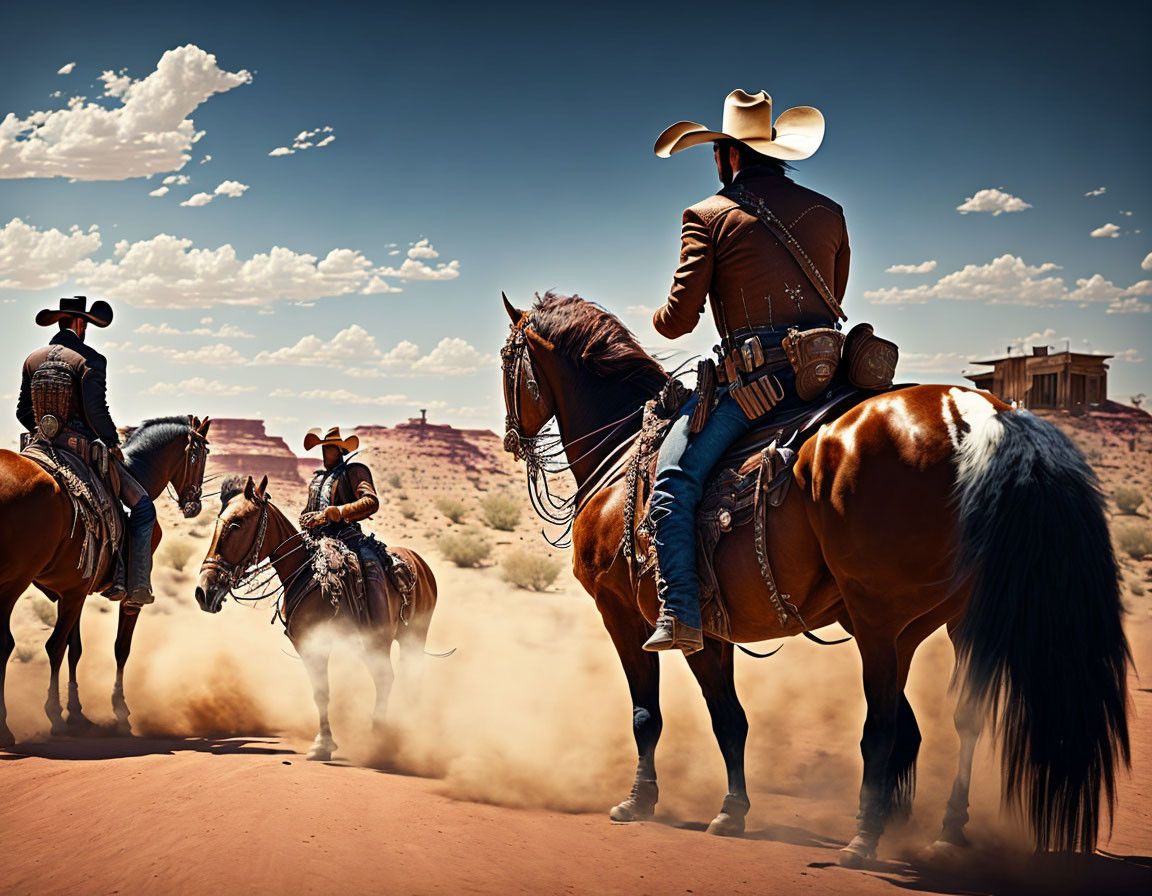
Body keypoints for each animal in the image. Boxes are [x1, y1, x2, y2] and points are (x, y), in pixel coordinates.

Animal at [195, 474, 437, 760]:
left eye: (236, 523)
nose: (204, 591)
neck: (306, 571)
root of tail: (421, 565)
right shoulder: (307, 645)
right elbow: (320, 693)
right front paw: (324, 743)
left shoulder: (320, 643)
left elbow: (324, 691)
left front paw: (324, 744)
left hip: (409, 637)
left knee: (394, 678)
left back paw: (386, 735)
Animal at [499, 294, 1128, 866]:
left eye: (508, 358)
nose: (511, 438)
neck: (623, 455)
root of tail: (977, 415)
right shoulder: (714, 627)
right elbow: (731, 721)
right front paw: (732, 811)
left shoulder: (632, 616)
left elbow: (650, 715)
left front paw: (638, 803)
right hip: (958, 618)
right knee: (960, 717)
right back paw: (944, 832)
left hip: (879, 617)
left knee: (882, 725)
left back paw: (864, 841)